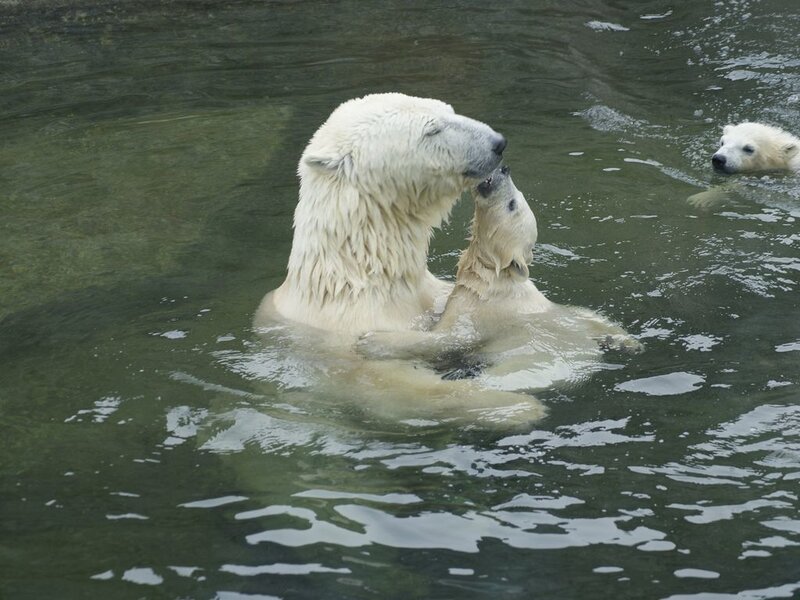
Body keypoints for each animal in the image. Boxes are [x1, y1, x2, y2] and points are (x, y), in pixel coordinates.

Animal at [357, 165, 641, 395]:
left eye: (513, 204)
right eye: (518, 197)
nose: (504, 169)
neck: (493, 278)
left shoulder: (480, 311)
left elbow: (449, 337)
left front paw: (371, 340)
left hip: (526, 366)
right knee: (592, 318)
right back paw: (630, 343)